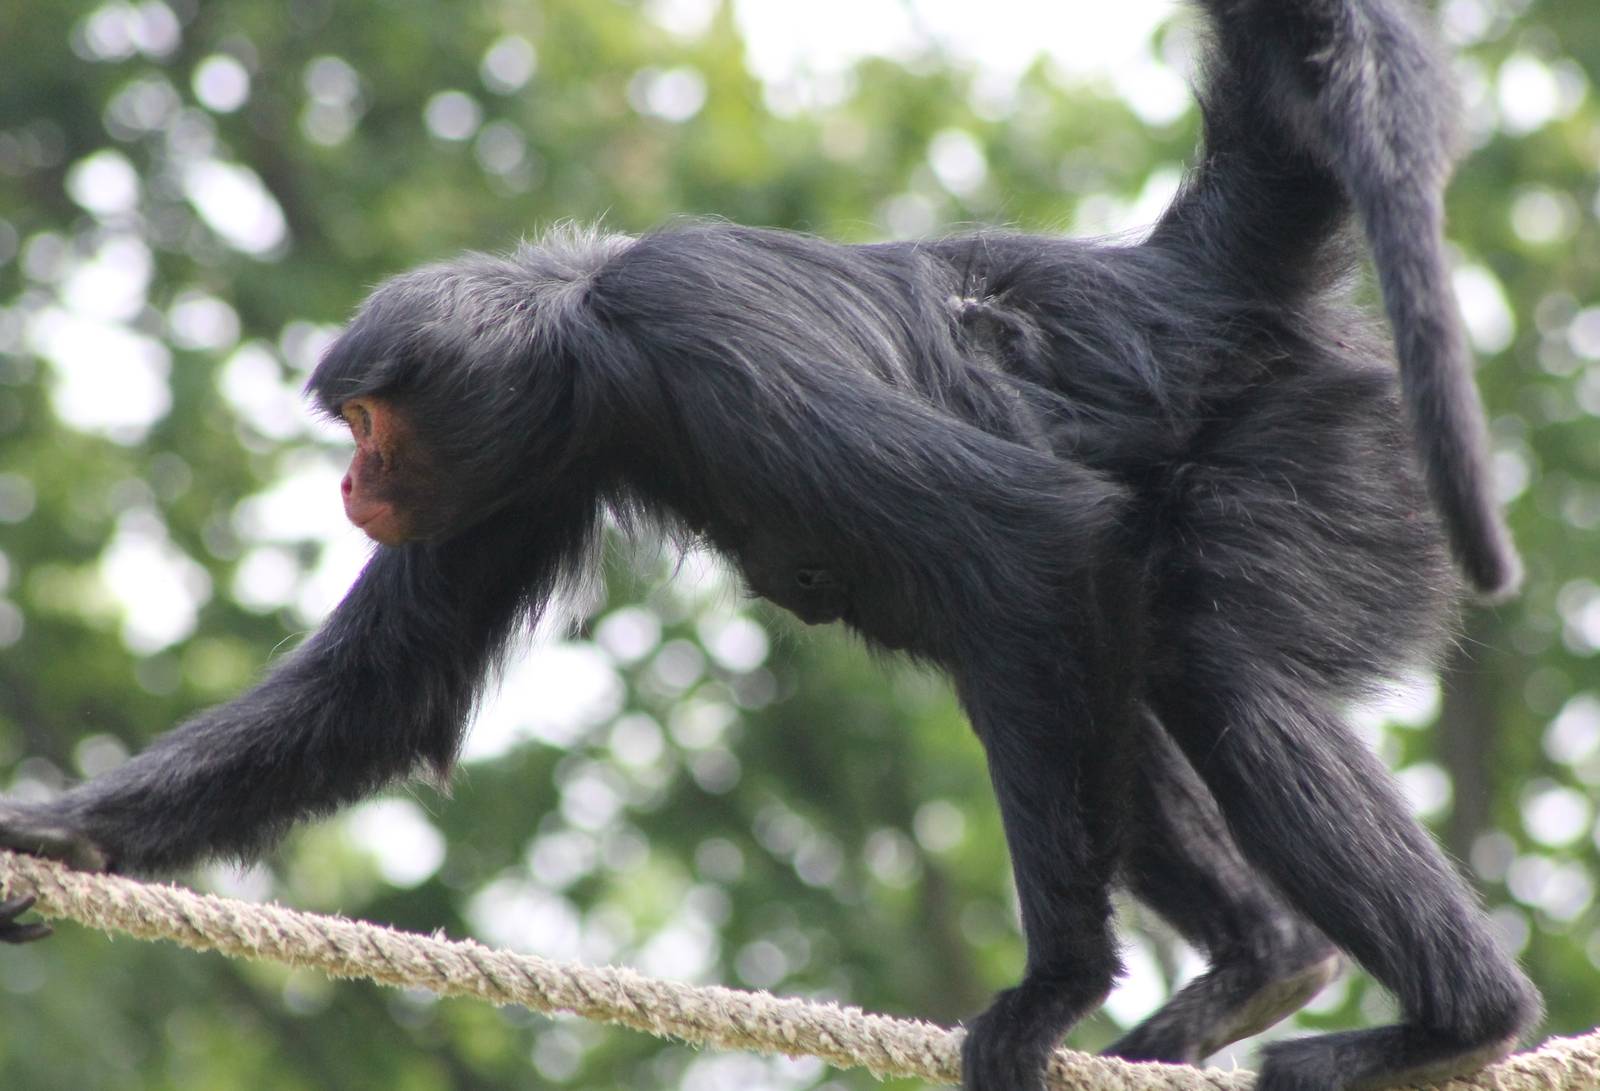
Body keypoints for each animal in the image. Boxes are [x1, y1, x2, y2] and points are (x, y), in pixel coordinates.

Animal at [0, 2, 1540, 1089]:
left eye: (373, 420)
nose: (349, 477)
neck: (596, 326)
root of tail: (1177, 285)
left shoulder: (701, 338)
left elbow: (1032, 533)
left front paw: (1051, 987)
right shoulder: (534, 462)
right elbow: (387, 694)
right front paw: (60, 832)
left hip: (1327, 450)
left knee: (1189, 646)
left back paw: (1458, 1021)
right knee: (1127, 637)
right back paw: (1268, 965)